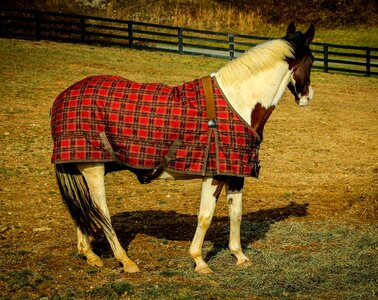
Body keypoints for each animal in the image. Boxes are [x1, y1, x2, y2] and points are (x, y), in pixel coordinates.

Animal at [51, 22, 316, 274]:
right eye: (312, 61)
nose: (307, 97)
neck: (238, 103)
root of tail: (63, 97)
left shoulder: (235, 174)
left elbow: (236, 214)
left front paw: (239, 256)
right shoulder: (214, 174)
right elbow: (206, 216)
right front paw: (199, 261)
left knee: (82, 209)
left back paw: (90, 255)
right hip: (93, 167)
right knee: (100, 211)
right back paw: (125, 261)